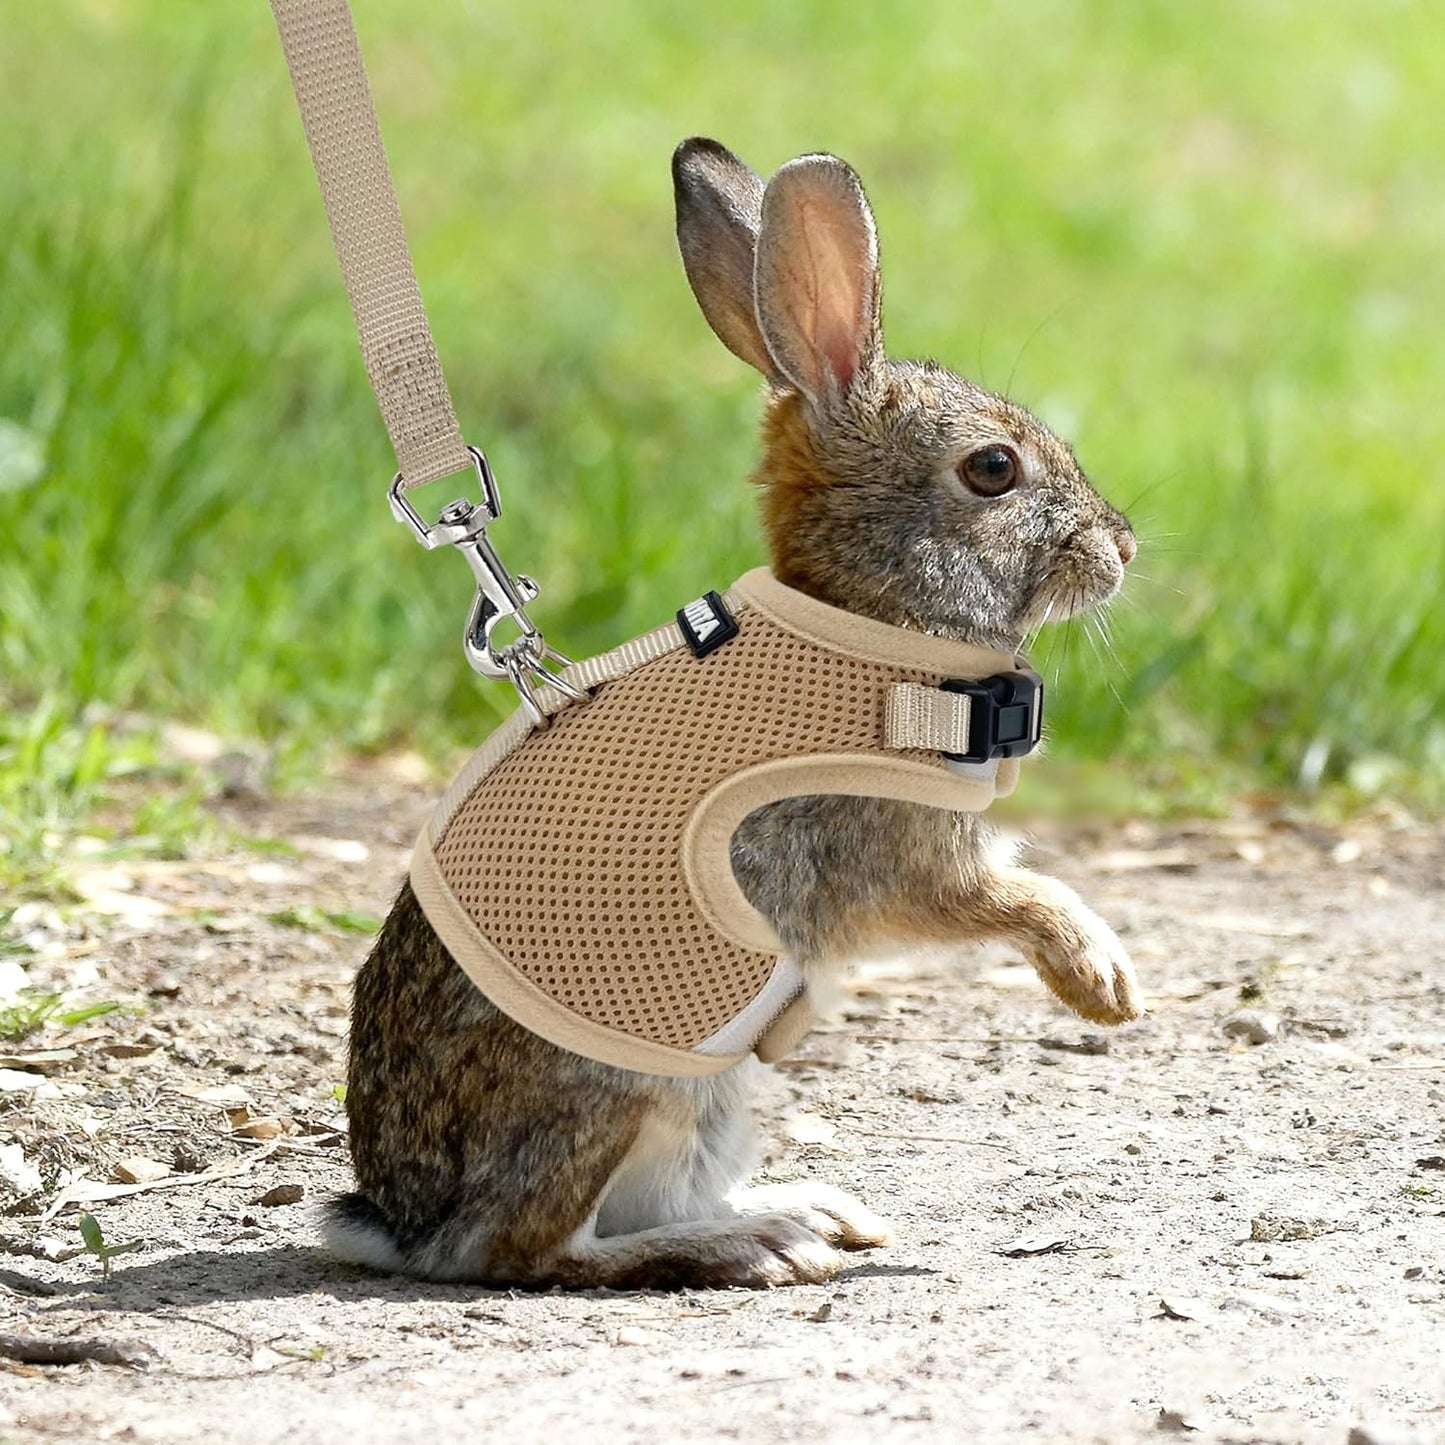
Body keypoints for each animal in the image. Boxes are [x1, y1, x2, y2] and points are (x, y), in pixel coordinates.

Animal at [328, 137, 1142, 1289]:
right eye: (993, 469)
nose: (1121, 548)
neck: (876, 619)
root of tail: (401, 1219)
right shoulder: (897, 853)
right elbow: (1012, 897)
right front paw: (1100, 981)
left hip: (709, 1092)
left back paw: (803, 1210)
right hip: (631, 1076)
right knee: (534, 1246)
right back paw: (753, 1242)